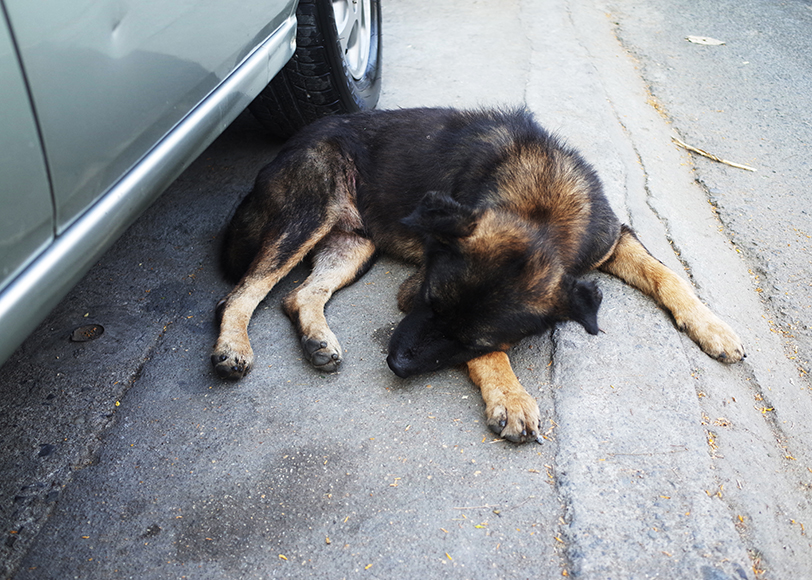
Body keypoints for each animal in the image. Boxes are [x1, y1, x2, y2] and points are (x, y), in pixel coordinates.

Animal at [211, 107, 744, 444]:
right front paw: (511, 396)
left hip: (354, 243)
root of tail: (286, 147)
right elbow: (494, 357)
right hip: (308, 216)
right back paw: (233, 347)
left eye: (469, 338)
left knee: (299, 295)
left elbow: (669, 276)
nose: (395, 365)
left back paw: (317, 339)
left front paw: (713, 327)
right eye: (428, 303)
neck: (540, 210)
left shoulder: (611, 241)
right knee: (241, 293)